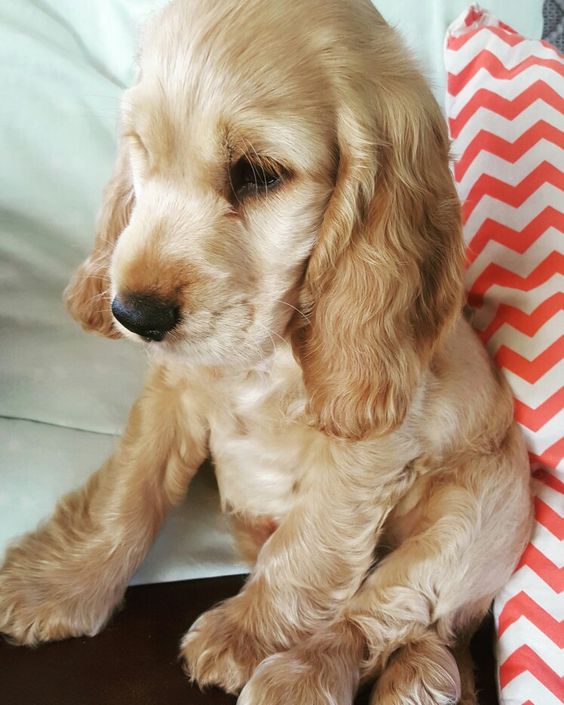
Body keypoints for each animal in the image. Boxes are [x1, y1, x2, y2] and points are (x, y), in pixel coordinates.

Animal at [0, 1, 532, 704]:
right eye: (142, 152)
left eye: (257, 173)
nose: (132, 313)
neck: (264, 351)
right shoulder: (172, 392)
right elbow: (128, 491)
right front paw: (58, 583)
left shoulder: (368, 450)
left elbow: (311, 547)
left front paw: (245, 635)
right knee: (417, 629)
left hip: (477, 518)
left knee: (390, 612)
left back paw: (306, 676)